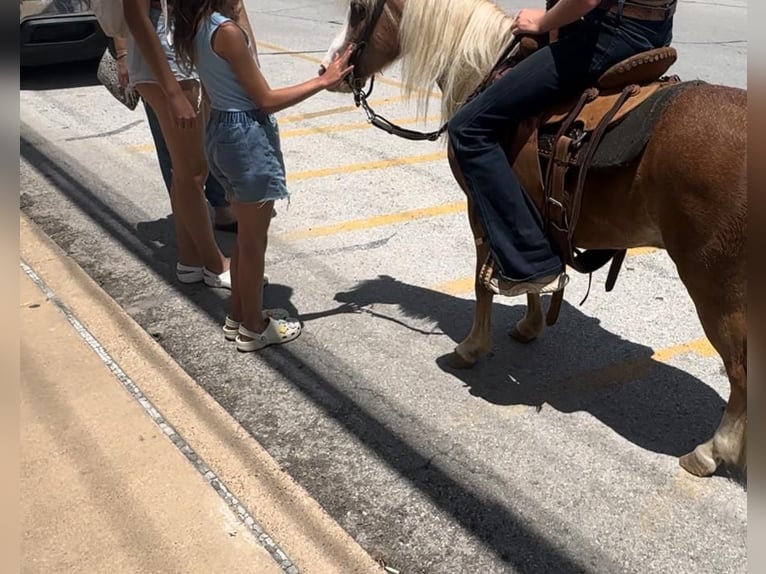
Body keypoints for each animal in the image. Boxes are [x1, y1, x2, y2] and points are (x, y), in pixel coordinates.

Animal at [320, 0, 748, 482]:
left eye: (359, 9)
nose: (328, 69)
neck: (484, 67)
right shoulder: (526, 208)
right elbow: (530, 269)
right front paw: (529, 324)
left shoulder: (480, 204)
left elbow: (483, 281)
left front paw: (471, 347)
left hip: (715, 284)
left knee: (741, 369)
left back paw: (711, 451)